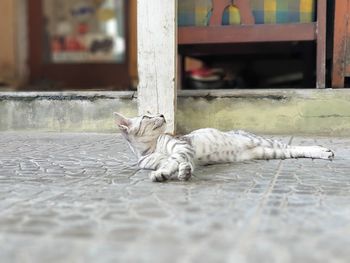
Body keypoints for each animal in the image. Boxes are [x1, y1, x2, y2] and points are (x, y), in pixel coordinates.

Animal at [114, 112, 334, 183]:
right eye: (146, 116)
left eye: (153, 113)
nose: (161, 114)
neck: (152, 147)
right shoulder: (163, 158)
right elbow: (171, 164)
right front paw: (169, 173)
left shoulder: (182, 146)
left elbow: (178, 160)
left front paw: (179, 171)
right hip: (270, 152)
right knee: (292, 151)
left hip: (269, 143)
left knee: (296, 145)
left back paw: (324, 151)